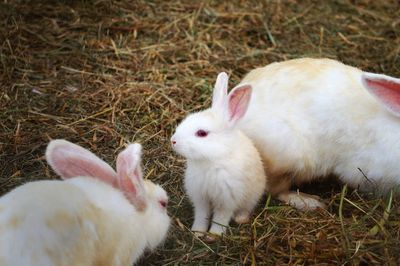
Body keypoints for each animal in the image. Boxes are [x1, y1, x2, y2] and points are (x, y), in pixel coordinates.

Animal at [171, 71, 268, 236]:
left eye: (202, 133)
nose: (173, 141)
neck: (211, 161)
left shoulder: (227, 199)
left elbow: (221, 218)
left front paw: (214, 235)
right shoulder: (200, 197)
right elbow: (202, 215)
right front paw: (197, 232)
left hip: (252, 196)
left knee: (246, 208)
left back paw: (241, 219)